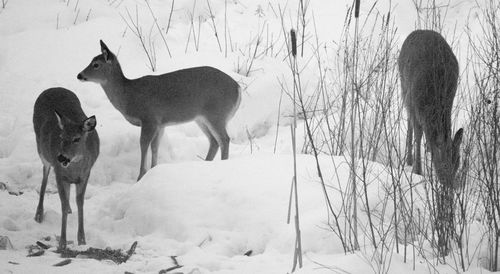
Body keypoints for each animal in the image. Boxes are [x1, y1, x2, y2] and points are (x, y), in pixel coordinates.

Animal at [77, 40, 240, 181]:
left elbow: (144, 145)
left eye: (96, 64)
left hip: (216, 113)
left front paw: (140, 177)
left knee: (224, 139)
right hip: (201, 118)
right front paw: (153, 170)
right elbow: (155, 147)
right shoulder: (160, 124)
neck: (128, 95)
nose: (79, 75)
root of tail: (238, 89)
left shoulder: (149, 118)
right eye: (91, 61)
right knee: (214, 141)